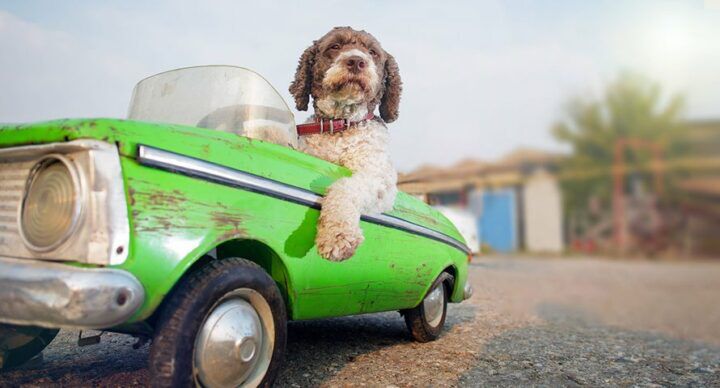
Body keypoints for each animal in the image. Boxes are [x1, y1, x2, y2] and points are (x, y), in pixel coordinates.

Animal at [290, 26, 402, 260]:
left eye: (373, 52)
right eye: (335, 46)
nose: (356, 61)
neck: (341, 127)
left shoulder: (379, 180)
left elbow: (344, 186)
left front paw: (337, 236)